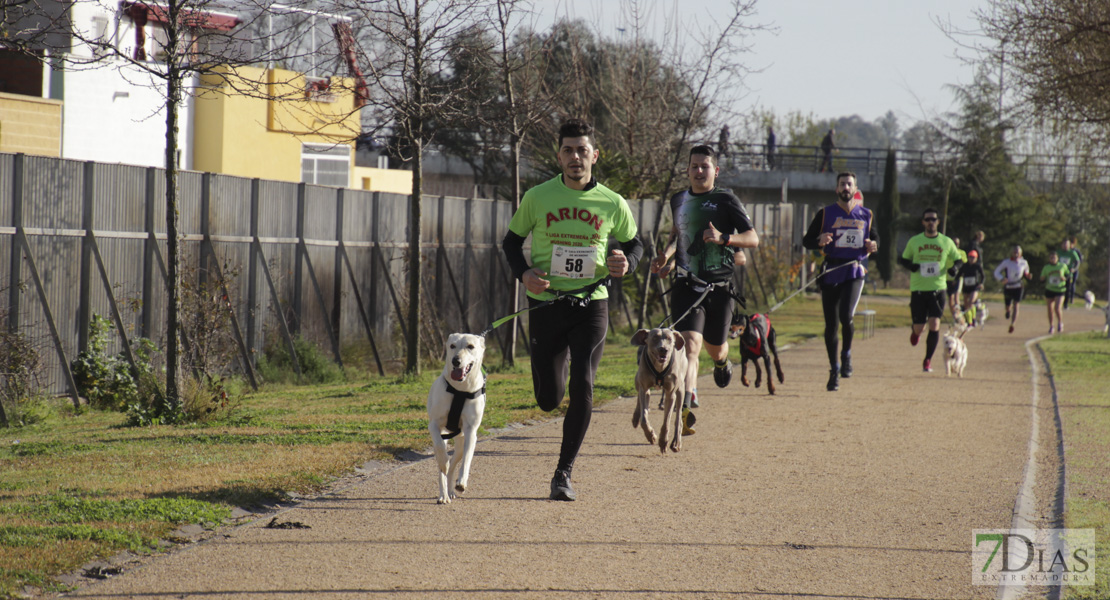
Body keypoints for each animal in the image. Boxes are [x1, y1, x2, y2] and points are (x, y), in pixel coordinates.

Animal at [424, 332, 486, 501]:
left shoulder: (471, 431)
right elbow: (440, 450)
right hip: (443, 436)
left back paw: (451, 490)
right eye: (452, 346)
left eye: (470, 346)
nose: (455, 361)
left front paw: (461, 482)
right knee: (443, 466)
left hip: (460, 442)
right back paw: (443, 495)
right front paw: (443, 463)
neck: (460, 390)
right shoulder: (434, 425)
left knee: (454, 464)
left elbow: (467, 458)